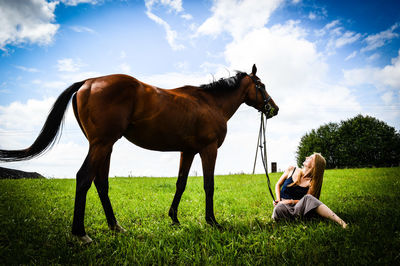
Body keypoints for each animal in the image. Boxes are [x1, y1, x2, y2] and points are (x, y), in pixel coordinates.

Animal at [0, 64, 278, 243]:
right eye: (262, 85)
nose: (273, 109)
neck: (209, 103)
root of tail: (89, 82)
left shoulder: (187, 151)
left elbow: (181, 184)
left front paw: (174, 219)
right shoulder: (207, 150)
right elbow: (208, 185)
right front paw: (212, 221)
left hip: (105, 146)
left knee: (101, 183)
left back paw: (115, 226)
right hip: (101, 144)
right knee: (84, 178)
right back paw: (81, 233)